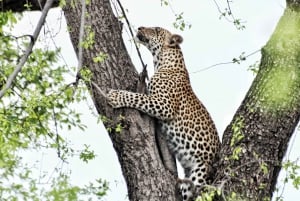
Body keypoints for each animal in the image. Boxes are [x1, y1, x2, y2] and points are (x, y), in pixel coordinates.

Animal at [107, 26, 220, 201]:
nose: (140, 27)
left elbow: (137, 97)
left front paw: (114, 95)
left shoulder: (164, 105)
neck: (161, 61)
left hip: (199, 173)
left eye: (156, 29)